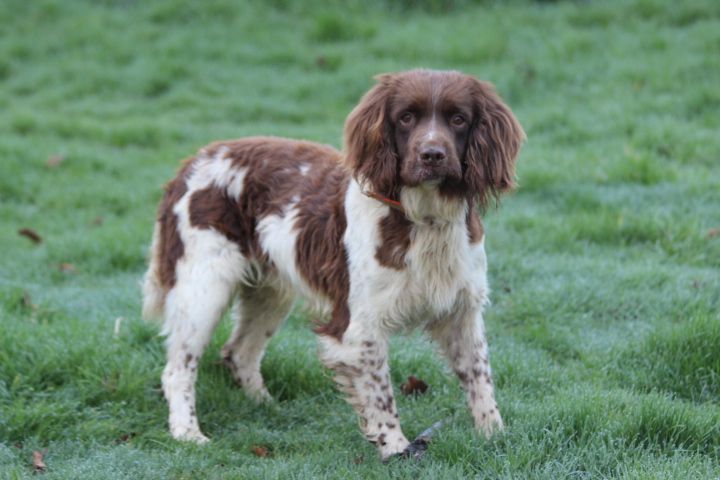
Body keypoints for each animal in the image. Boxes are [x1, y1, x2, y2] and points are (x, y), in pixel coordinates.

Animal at [142, 69, 524, 460]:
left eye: (458, 119)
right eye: (406, 117)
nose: (432, 154)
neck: (424, 219)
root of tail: (194, 161)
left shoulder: (462, 311)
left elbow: (480, 377)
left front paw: (494, 436)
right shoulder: (360, 326)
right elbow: (381, 393)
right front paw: (397, 449)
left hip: (269, 291)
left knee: (239, 353)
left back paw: (266, 407)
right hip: (203, 288)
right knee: (178, 369)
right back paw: (188, 433)